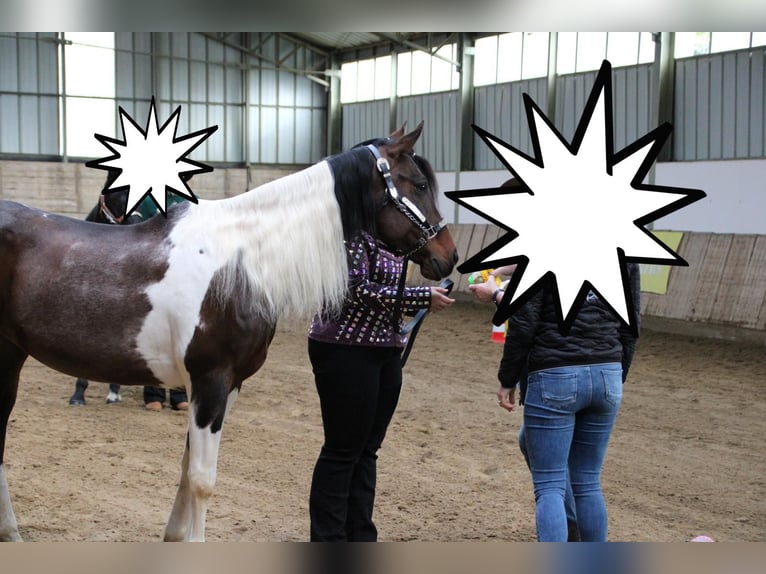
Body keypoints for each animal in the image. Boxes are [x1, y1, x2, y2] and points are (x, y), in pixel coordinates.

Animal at [0, 122, 458, 541]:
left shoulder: (227, 385)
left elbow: (187, 469)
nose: (449, 256)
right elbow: (203, 480)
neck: (241, 261)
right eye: (419, 184)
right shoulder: (210, 379)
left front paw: (174, 536)